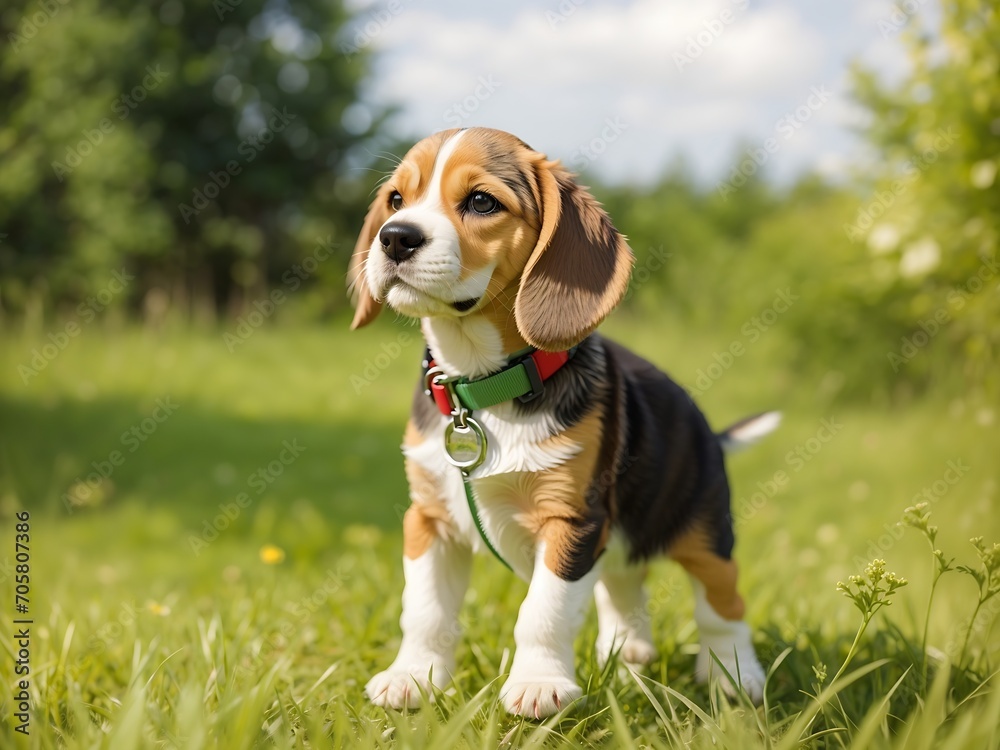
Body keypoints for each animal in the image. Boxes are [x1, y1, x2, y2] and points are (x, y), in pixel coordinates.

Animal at [350, 126, 772, 720]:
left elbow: (542, 612)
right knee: (623, 586)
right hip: (620, 538)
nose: (394, 238)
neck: (484, 387)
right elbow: (426, 610)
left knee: (723, 605)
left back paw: (734, 678)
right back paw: (627, 655)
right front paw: (414, 678)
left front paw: (538, 685)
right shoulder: (429, 520)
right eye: (395, 200)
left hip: (705, 534)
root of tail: (708, 431)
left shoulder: (571, 522)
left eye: (481, 202)